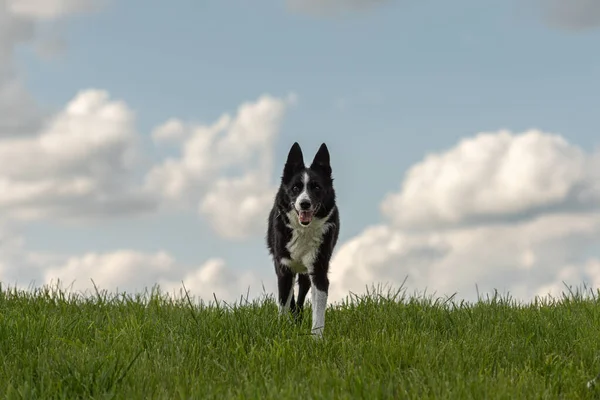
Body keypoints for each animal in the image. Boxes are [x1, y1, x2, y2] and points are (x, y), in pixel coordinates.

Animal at [266, 141, 338, 338]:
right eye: (295, 188)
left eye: (316, 187)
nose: (304, 203)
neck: (303, 230)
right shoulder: (283, 267)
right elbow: (283, 303)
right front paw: (282, 330)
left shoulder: (318, 269)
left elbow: (318, 309)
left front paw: (317, 338)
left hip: (305, 273)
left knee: (300, 297)